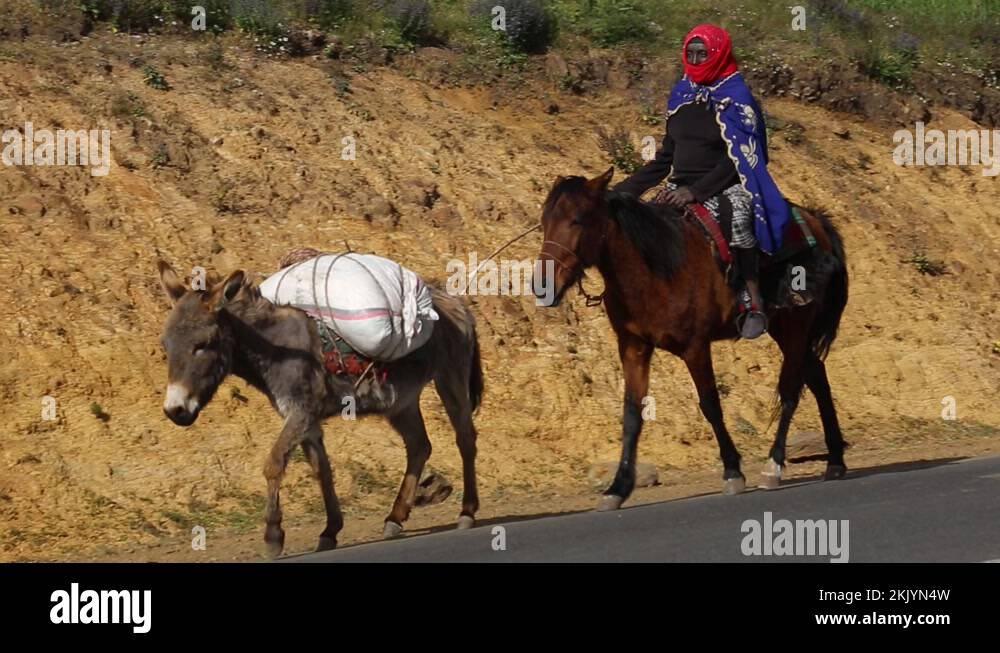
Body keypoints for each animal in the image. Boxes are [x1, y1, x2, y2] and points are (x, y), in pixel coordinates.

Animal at [156, 260, 484, 557]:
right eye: (166, 345)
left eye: (203, 344)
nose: (175, 410)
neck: (277, 349)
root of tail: (453, 300)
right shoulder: (307, 420)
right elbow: (321, 469)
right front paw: (330, 531)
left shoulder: (300, 412)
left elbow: (273, 463)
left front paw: (273, 535)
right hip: (400, 402)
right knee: (419, 446)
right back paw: (395, 517)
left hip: (450, 377)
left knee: (465, 438)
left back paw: (466, 512)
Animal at [534, 168, 849, 510]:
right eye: (545, 220)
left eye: (577, 220)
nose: (544, 286)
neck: (655, 267)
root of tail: (814, 219)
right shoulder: (633, 348)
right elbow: (632, 415)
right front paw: (617, 487)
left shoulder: (695, 347)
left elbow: (710, 404)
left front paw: (732, 471)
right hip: (785, 328)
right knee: (817, 376)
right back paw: (835, 460)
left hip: (796, 324)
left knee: (791, 390)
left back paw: (773, 466)